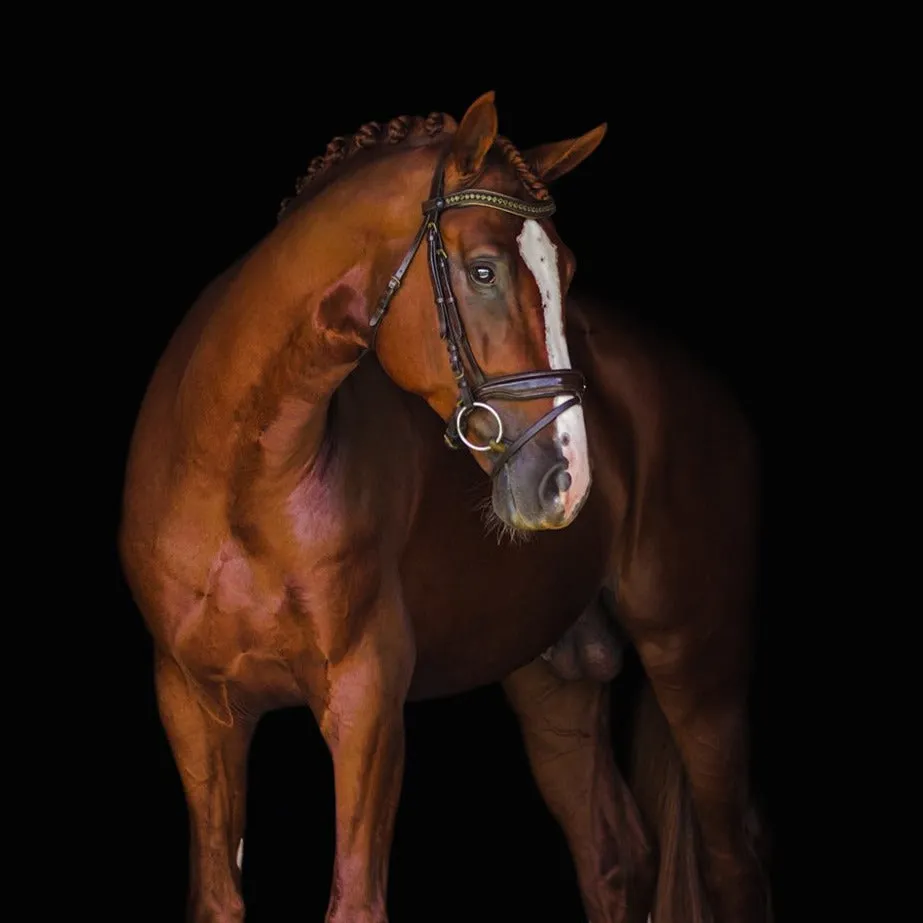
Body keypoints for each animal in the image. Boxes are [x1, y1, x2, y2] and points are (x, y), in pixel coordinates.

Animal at [119, 94, 768, 923]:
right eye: (483, 269)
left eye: (566, 272)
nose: (564, 480)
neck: (240, 486)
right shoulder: (196, 710)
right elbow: (216, 898)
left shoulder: (365, 709)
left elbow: (354, 900)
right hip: (555, 683)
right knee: (615, 854)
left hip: (694, 661)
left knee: (731, 860)